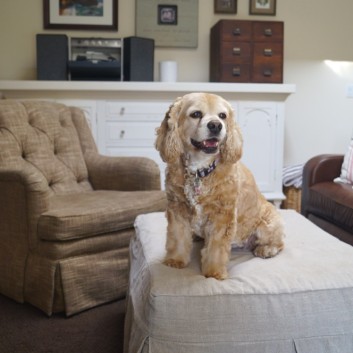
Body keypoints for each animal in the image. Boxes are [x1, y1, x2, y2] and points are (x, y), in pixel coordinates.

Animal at [154, 92, 284, 280]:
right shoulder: (177, 208)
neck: (199, 171)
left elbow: (216, 248)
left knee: (279, 243)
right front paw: (175, 261)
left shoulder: (222, 214)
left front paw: (214, 273)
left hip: (269, 223)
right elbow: (178, 237)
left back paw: (266, 249)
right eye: (196, 114)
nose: (216, 125)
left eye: (223, 115)